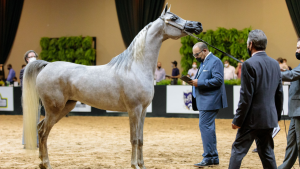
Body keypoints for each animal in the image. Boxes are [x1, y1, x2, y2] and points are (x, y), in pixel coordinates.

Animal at [22, 4, 203, 169]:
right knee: (43, 132)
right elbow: (134, 139)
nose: (198, 25)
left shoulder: (143, 110)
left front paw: (142, 164)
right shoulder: (134, 109)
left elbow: (141, 139)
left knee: (40, 128)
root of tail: (47, 65)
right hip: (54, 109)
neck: (135, 67)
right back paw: (46, 163)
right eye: (173, 18)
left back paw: (41, 162)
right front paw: (134, 165)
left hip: (65, 107)